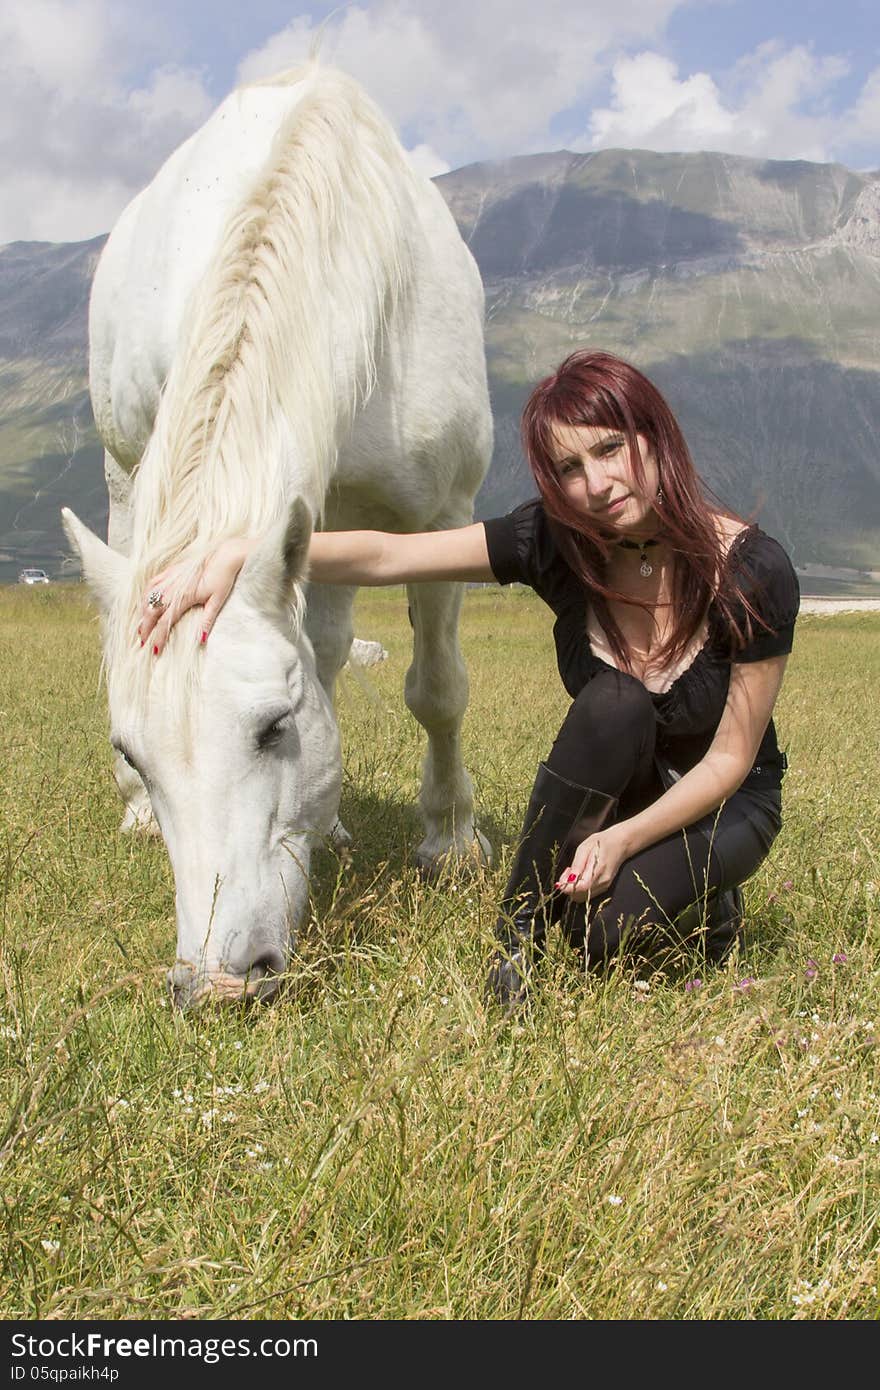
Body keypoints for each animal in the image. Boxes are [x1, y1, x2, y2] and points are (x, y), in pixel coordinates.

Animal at [64, 65, 494, 1006]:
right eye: (132, 750)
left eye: (274, 727)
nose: (219, 983)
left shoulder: (442, 512)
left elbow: (439, 688)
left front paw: (450, 841)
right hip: (129, 474)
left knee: (330, 646)